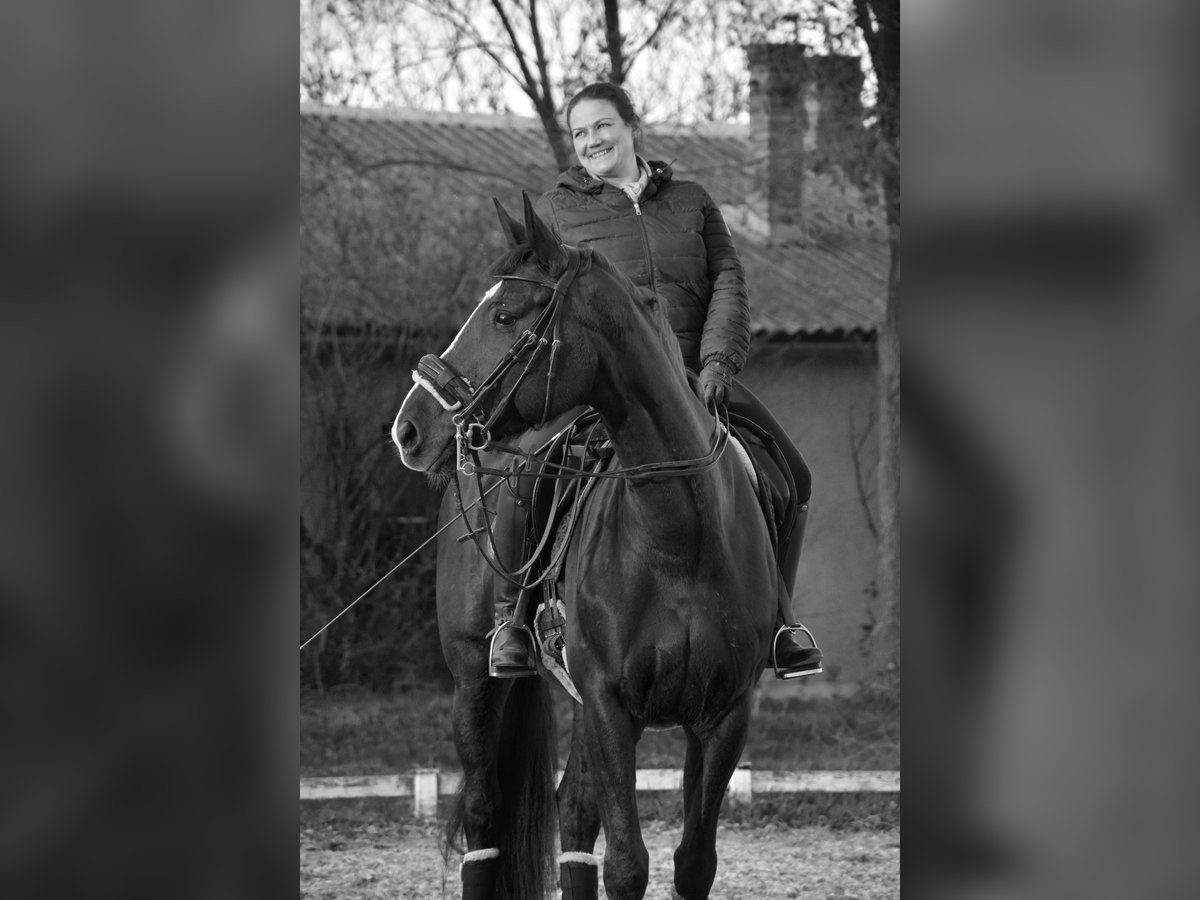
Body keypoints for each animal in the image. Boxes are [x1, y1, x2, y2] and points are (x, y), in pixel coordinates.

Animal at [391, 194, 787, 900]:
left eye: (504, 314)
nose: (410, 428)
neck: (677, 534)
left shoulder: (723, 716)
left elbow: (693, 862)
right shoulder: (609, 706)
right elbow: (628, 865)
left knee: (574, 822)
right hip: (473, 679)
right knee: (483, 818)